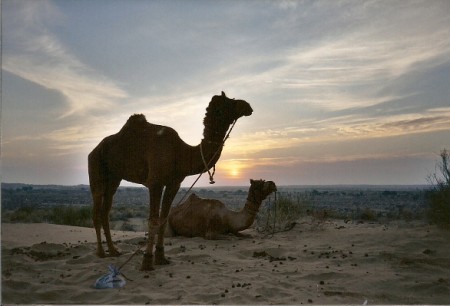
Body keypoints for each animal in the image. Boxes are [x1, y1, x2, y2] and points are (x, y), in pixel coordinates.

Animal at [87, 91, 250, 270]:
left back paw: (113, 250)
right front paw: (147, 262)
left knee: (105, 210)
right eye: (229, 102)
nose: (248, 106)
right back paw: (101, 253)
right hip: (96, 168)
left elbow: (164, 219)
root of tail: (93, 150)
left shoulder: (174, 184)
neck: (180, 152)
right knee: (96, 209)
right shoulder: (155, 183)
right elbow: (153, 220)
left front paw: (161, 258)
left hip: (114, 177)